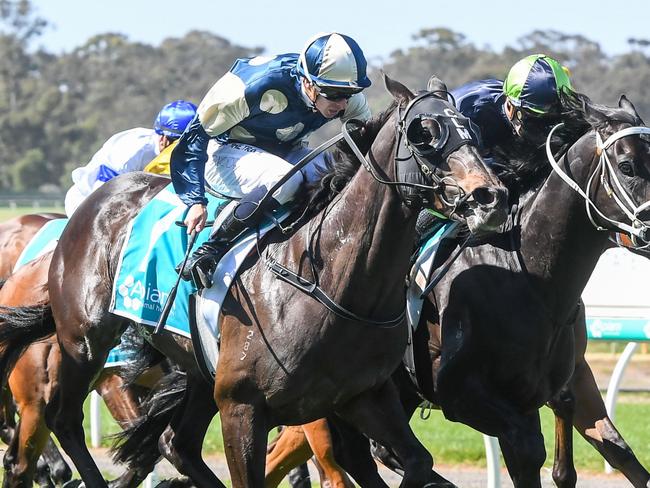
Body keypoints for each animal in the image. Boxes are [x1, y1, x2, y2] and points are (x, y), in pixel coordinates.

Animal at [0, 74, 506, 486]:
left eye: (473, 130)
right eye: (426, 133)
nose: (490, 196)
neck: (332, 282)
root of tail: (97, 200)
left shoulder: (365, 396)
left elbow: (417, 464)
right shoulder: (243, 407)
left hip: (199, 372)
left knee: (177, 445)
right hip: (84, 339)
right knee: (64, 419)